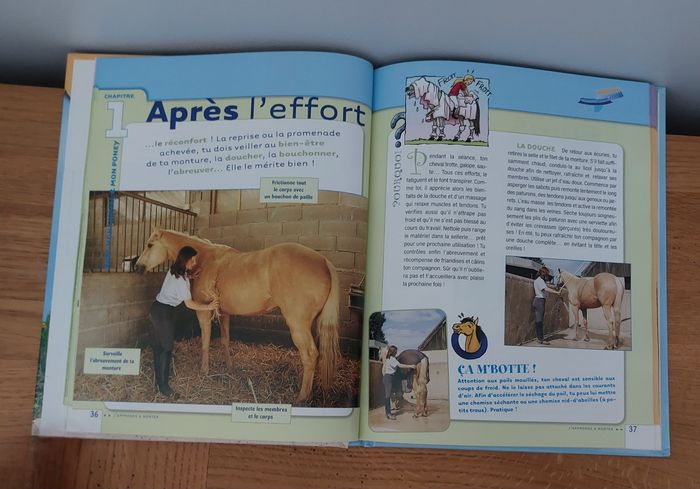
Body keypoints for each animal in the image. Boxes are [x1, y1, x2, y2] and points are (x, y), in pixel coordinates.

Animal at [134, 229, 340, 403]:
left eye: (150, 245)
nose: (137, 267)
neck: (205, 261)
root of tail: (323, 261)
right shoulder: (224, 314)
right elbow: (225, 340)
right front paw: (229, 367)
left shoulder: (203, 312)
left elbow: (205, 342)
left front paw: (204, 371)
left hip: (297, 324)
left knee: (310, 355)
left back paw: (302, 397)